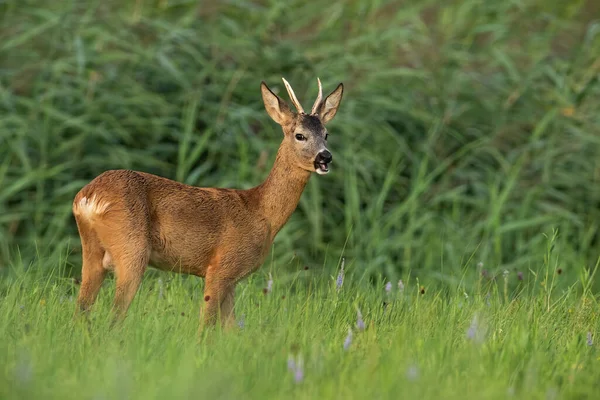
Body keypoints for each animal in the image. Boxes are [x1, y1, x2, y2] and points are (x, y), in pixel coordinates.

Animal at [71, 77, 342, 328]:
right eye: (300, 135)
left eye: (326, 134)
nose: (325, 157)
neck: (261, 213)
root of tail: (88, 197)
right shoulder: (220, 268)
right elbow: (206, 327)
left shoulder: (232, 280)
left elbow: (231, 330)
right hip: (131, 247)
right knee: (114, 317)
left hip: (93, 252)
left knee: (82, 308)